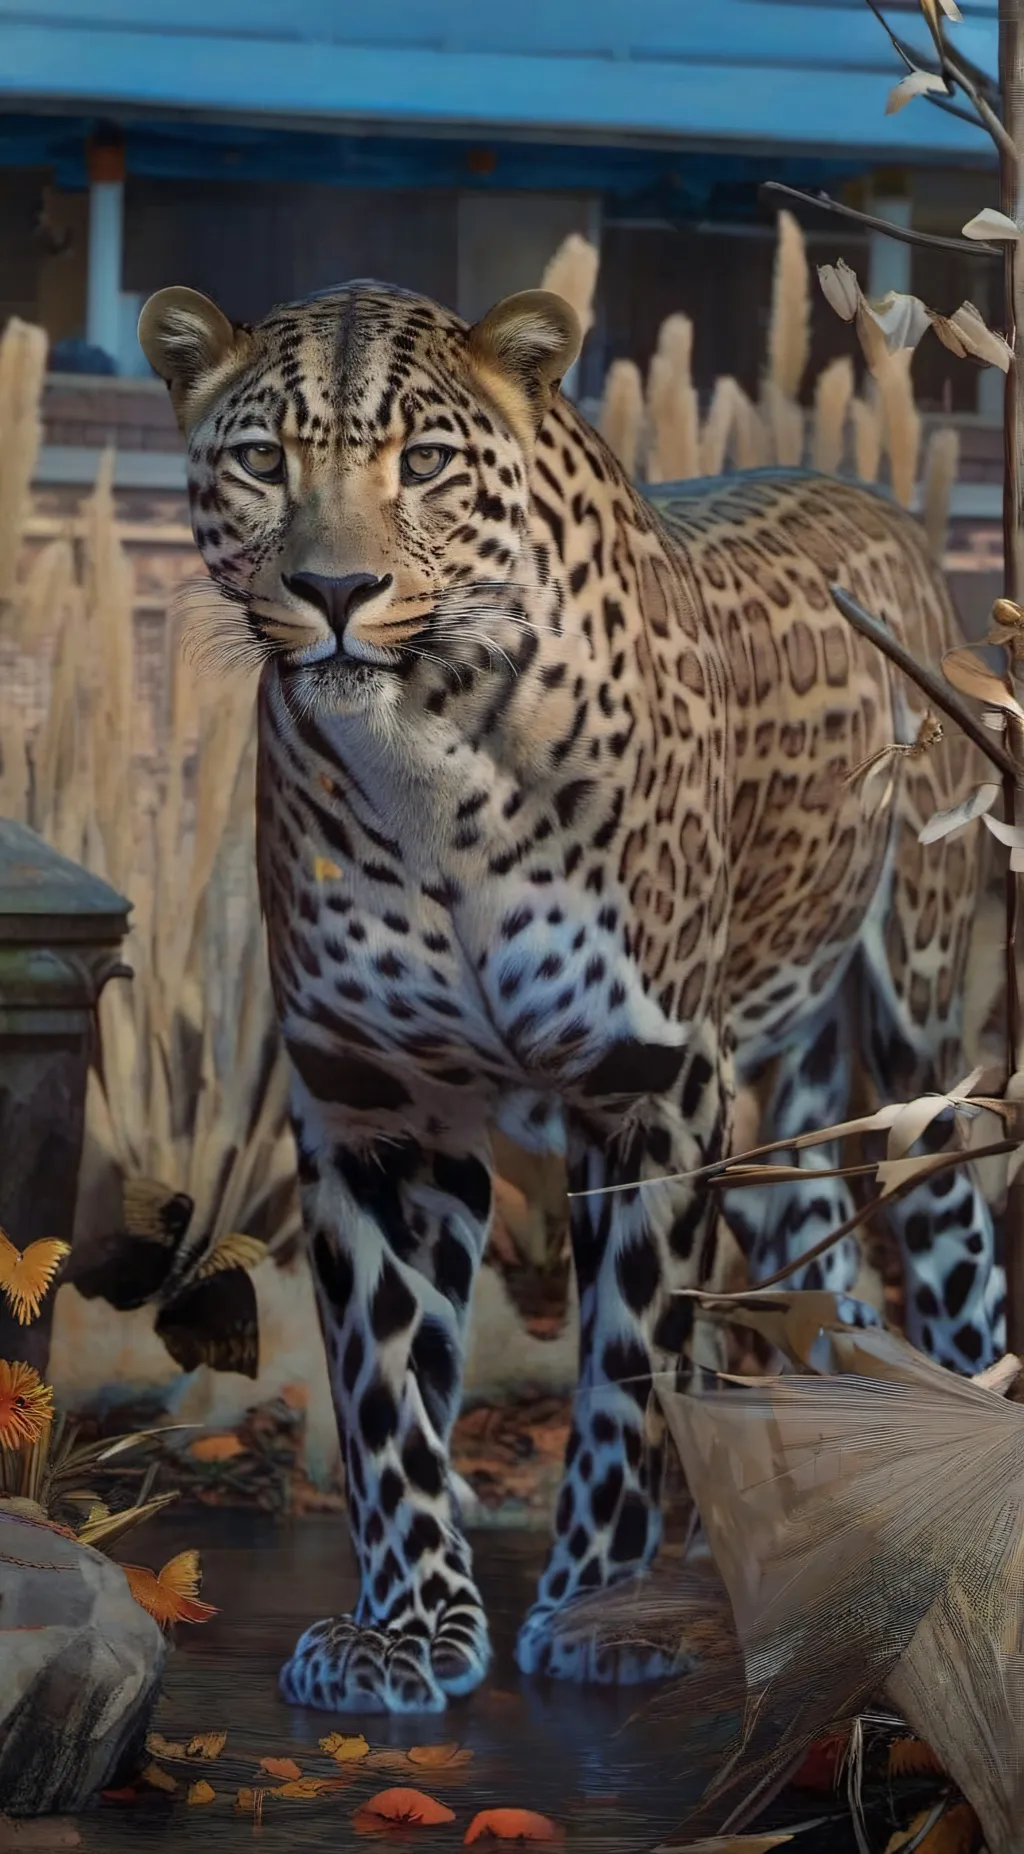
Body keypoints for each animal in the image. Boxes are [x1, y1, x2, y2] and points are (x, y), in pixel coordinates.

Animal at [139, 275, 1005, 1716]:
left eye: (425, 462)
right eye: (262, 461)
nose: (334, 589)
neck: (425, 761)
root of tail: (879, 504)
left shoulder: (650, 1091)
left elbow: (626, 1369)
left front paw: (603, 1608)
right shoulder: (373, 1107)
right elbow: (383, 1387)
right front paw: (405, 1628)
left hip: (916, 1035)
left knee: (950, 1259)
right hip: (776, 1118)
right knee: (826, 1285)